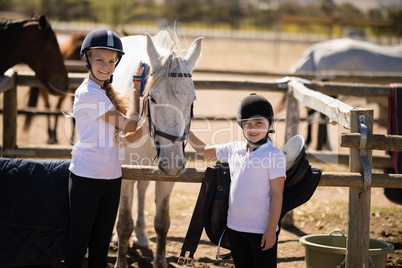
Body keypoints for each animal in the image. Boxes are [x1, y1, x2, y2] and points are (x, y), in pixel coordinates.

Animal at [111, 30, 203, 266]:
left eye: (193, 100)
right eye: (152, 98)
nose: (172, 163)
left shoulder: (169, 177)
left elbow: (162, 222)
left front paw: (159, 261)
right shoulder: (125, 174)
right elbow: (124, 222)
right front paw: (121, 260)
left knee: (142, 190)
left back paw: (142, 236)